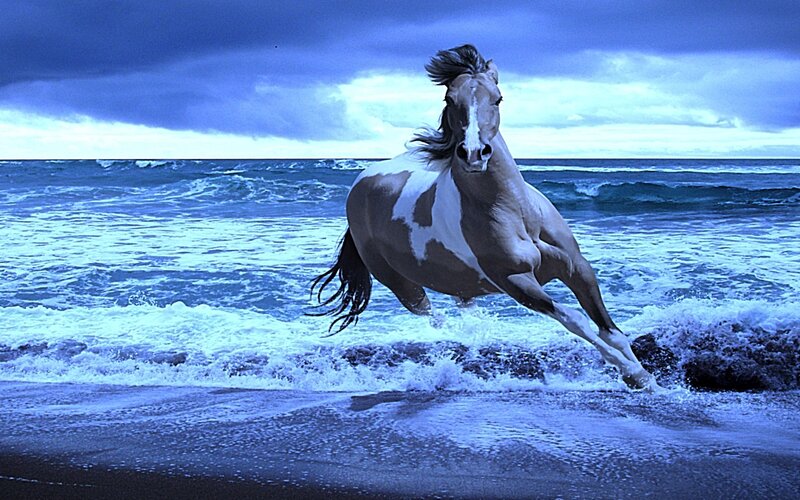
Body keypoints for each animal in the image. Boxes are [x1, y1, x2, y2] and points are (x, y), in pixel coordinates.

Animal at [310, 44, 657, 390]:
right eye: (450, 99)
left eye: (498, 98)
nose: (475, 153)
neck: (517, 214)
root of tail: (360, 184)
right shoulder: (516, 281)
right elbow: (576, 320)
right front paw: (635, 374)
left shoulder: (577, 268)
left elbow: (611, 331)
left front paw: (648, 379)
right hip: (402, 285)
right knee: (436, 318)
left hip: (459, 286)